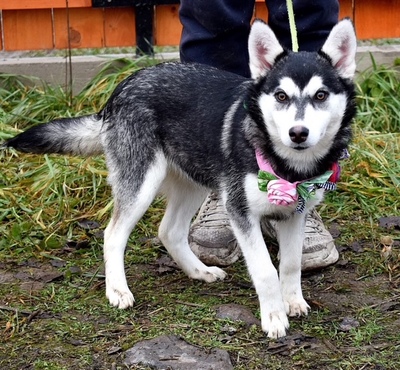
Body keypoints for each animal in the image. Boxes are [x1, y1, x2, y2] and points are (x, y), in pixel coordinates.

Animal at [3, 19, 356, 338]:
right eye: (281, 96)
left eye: (321, 95)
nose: (298, 133)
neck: (286, 164)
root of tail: (124, 85)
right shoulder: (240, 213)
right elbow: (266, 270)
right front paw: (273, 317)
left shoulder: (296, 214)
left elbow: (291, 264)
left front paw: (292, 301)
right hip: (142, 183)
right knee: (113, 235)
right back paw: (117, 290)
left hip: (193, 183)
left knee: (169, 231)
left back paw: (199, 271)